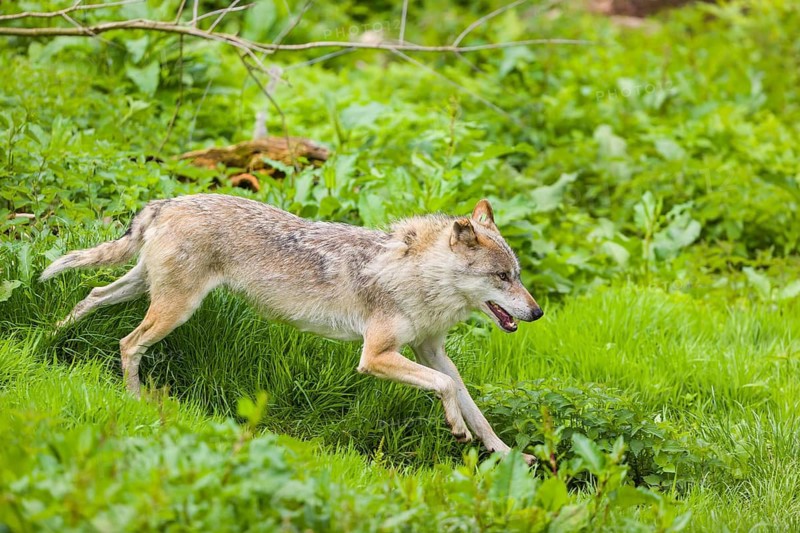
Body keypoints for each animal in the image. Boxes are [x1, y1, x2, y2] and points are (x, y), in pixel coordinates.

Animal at [41, 194, 543, 460]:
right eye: (503, 278)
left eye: (518, 276)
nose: (537, 314)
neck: (421, 279)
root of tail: (170, 201)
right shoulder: (375, 356)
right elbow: (445, 389)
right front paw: (457, 430)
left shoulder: (432, 352)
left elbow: (470, 401)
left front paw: (507, 454)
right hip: (173, 310)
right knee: (128, 343)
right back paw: (134, 399)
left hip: (144, 290)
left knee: (90, 297)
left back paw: (48, 339)